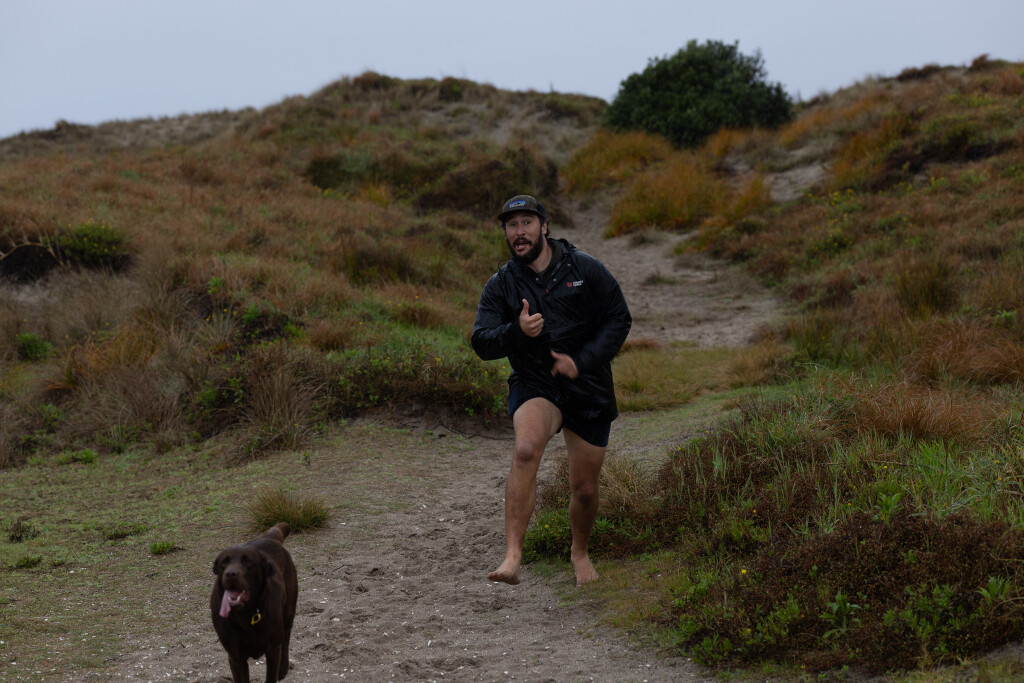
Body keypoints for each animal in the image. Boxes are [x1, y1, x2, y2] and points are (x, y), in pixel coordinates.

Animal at [211, 522, 298, 683]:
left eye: (248, 562)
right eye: (223, 562)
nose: (230, 574)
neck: (245, 613)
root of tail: (270, 537)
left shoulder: (273, 650)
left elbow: (271, 677)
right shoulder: (236, 657)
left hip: (289, 610)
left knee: (286, 636)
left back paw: (283, 669)